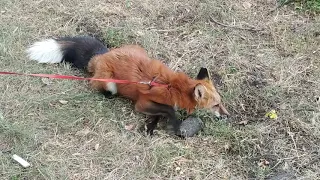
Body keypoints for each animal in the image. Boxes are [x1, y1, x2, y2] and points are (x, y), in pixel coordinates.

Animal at [26, 35, 229, 136]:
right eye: (216, 105)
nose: (228, 116)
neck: (174, 87)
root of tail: (101, 55)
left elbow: (160, 113)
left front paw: (150, 127)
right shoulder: (142, 103)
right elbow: (168, 110)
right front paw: (173, 125)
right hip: (110, 84)